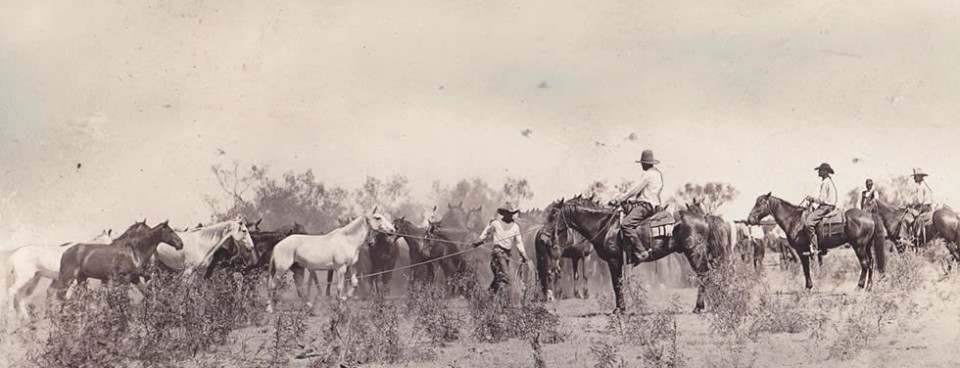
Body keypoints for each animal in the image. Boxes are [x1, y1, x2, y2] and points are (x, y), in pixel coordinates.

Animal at [54, 220, 184, 298]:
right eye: (170, 231)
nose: (181, 244)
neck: (133, 253)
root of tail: (65, 252)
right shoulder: (122, 279)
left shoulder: (134, 278)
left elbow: (146, 293)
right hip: (67, 279)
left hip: (82, 279)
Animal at [266, 207, 394, 310]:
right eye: (378, 218)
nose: (392, 230)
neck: (347, 240)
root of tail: (277, 245)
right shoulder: (341, 268)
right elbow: (339, 287)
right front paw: (340, 306)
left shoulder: (350, 267)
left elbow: (355, 284)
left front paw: (344, 299)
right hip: (281, 269)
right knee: (272, 285)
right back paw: (269, 308)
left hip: (298, 269)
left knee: (299, 286)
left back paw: (309, 306)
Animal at [548, 197, 728, 312]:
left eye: (554, 214)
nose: (546, 234)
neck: (606, 226)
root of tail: (704, 217)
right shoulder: (617, 262)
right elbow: (618, 284)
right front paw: (621, 307)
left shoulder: (613, 261)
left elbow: (617, 284)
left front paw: (619, 309)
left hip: (695, 253)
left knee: (704, 276)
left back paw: (698, 307)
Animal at [748, 193, 888, 290]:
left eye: (759, 204)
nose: (749, 219)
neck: (794, 220)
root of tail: (869, 215)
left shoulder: (801, 250)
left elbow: (806, 268)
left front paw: (808, 287)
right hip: (867, 246)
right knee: (871, 263)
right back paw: (869, 286)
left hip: (859, 246)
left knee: (865, 264)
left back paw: (859, 286)